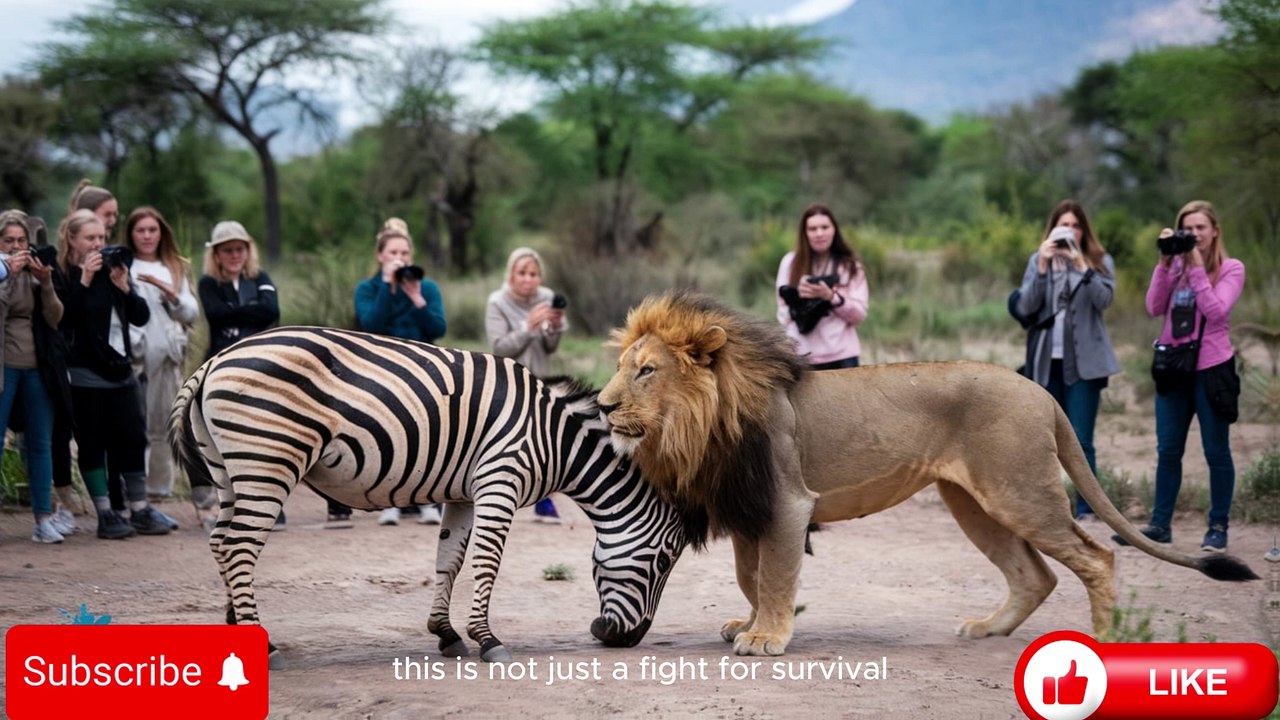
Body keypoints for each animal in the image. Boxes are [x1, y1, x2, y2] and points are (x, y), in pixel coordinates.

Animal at [169, 326, 700, 668]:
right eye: (664, 560)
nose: (623, 639)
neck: (554, 437)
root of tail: (213, 362)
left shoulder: (463, 493)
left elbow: (450, 560)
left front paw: (446, 635)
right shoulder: (500, 480)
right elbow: (487, 562)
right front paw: (487, 640)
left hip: (230, 470)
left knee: (221, 543)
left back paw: (238, 630)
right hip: (269, 459)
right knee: (239, 547)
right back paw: (265, 646)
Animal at [597, 290, 1258, 657]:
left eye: (647, 370)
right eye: (624, 366)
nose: (602, 405)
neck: (703, 421)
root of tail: (1043, 393)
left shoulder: (786, 501)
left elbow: (776, 577)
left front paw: (767, 638)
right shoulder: (748, 509)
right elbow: (750, 576)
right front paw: (750, 623)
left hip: (1021, 493)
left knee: (1098, 557)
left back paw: (1107, 640)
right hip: (975, 503)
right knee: (1035, 574)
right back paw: (989, 629)